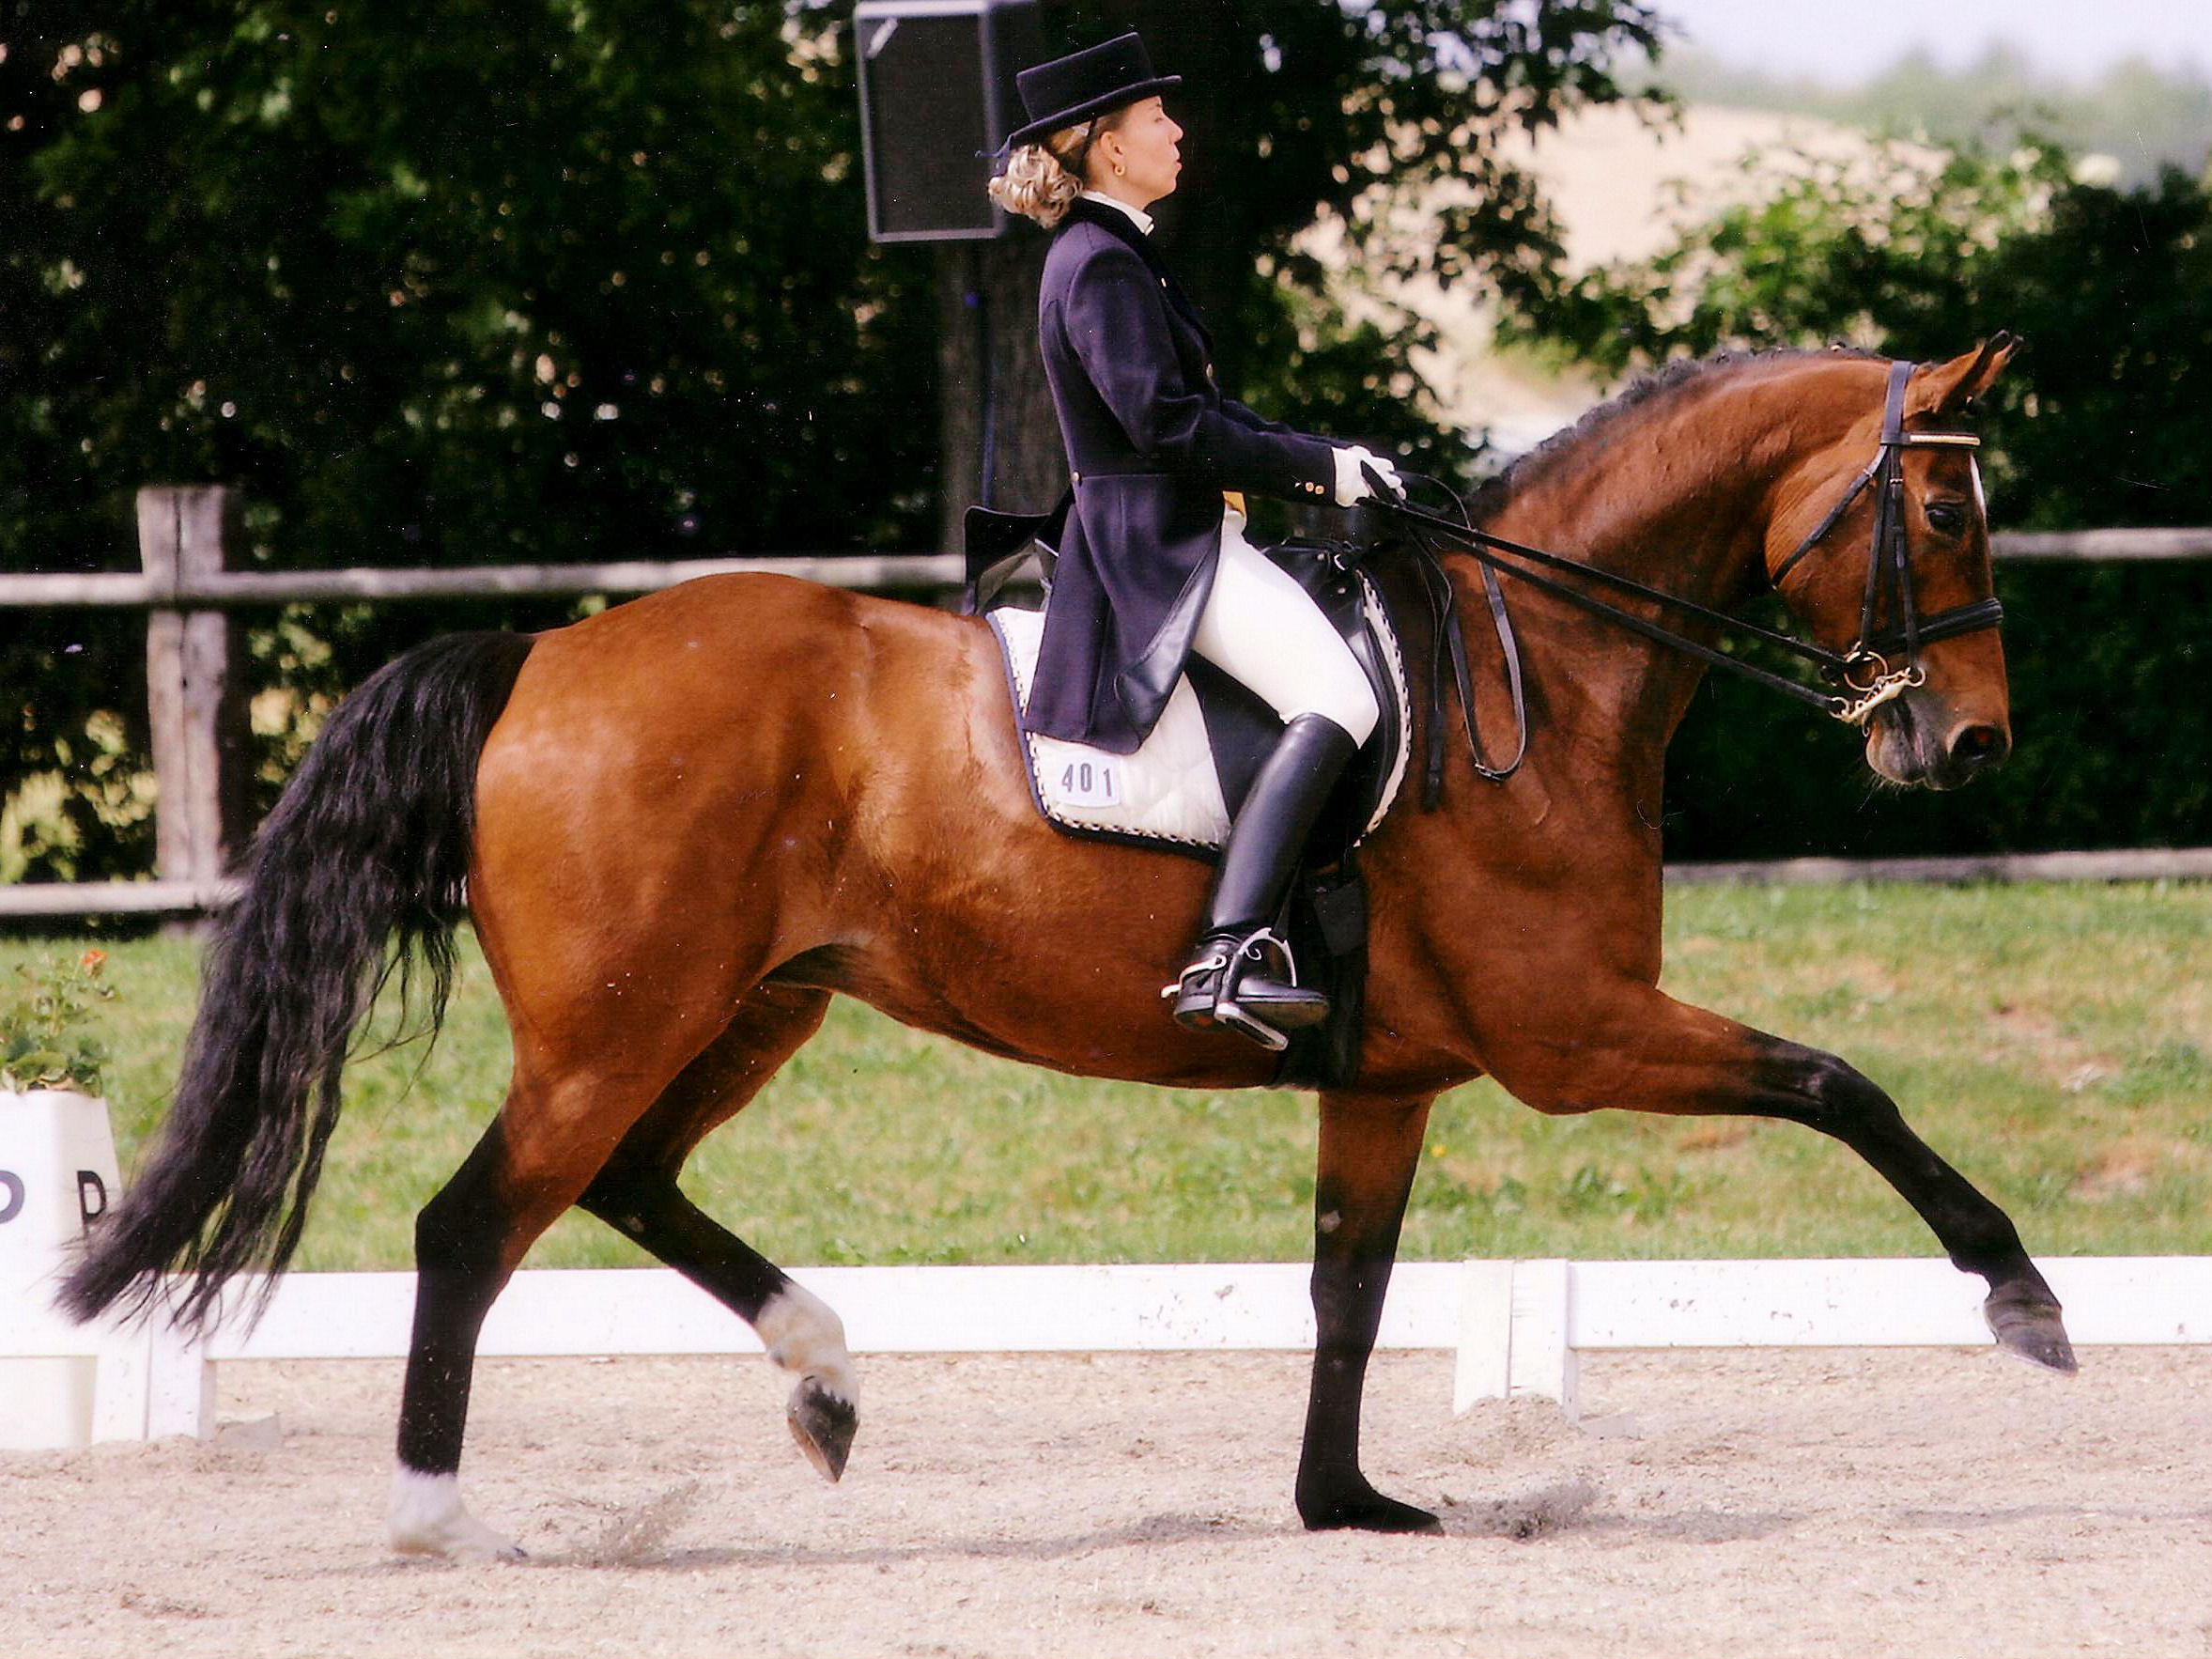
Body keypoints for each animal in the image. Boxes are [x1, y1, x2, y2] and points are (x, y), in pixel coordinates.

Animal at [64, 333, 2070, 1557]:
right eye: (1943, 506)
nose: (1967, 743)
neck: (1545, 669)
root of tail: (539, 655)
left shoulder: (1393, 1076)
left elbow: (1350, 1288)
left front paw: (1345, 1500)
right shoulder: (1572, 1033)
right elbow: (1842, 1083)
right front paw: (2022, 1300)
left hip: (745, 1010)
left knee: (627, 1184)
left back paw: (826, 1381)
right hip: (624, 1022)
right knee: (475, 1224)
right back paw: (437, 1517)